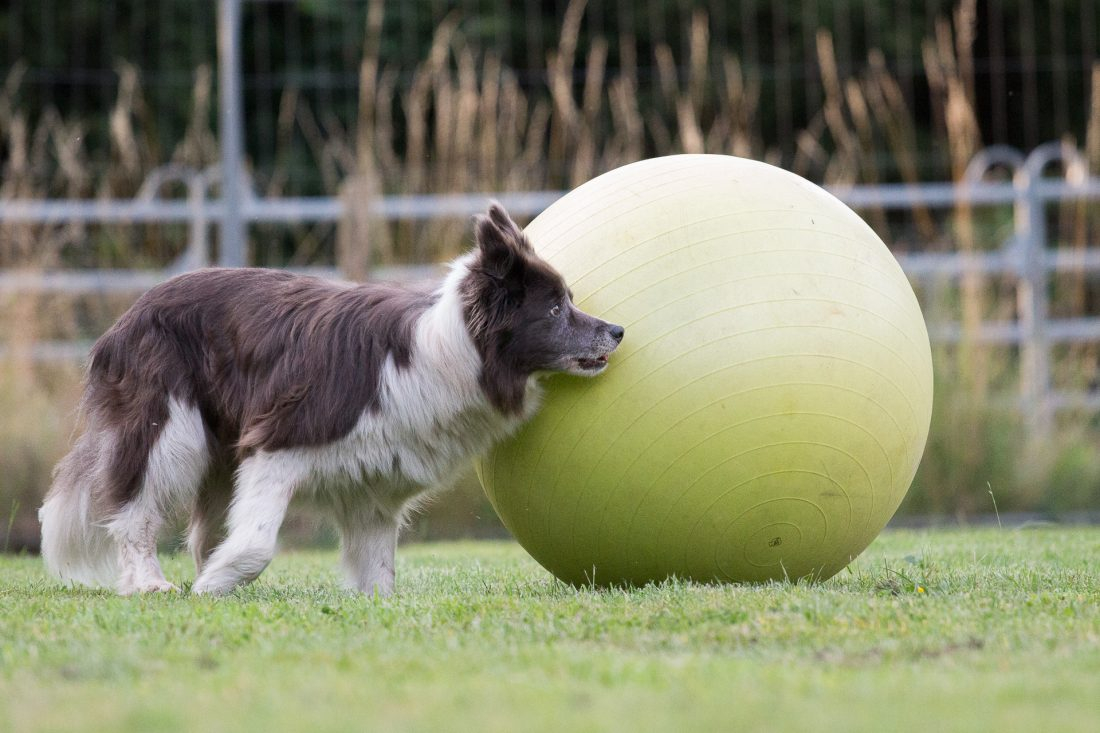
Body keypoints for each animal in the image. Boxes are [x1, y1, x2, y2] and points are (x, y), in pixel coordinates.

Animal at [38, 201, 624, 594]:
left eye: (569, 300)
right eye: (554, 309)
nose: (617, 331)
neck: (452, 348)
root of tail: (131, 312)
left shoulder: (375, 484)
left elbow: (379, 571)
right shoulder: (276, 444)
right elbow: (256, 544)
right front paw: (213, 587)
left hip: (218, 452)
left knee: (201, 532)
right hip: (171, 431)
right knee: (134, 512)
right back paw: (149, 583)